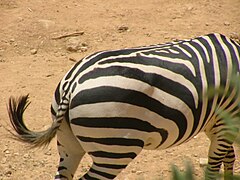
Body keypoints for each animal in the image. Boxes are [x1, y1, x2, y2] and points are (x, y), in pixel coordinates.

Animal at [7, 33, 240, 179]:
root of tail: (73, 83)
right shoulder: (227, 122)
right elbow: (215, 164)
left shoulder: (215, 124)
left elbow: (229, 157)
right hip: (115, 150)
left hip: (67, 144)